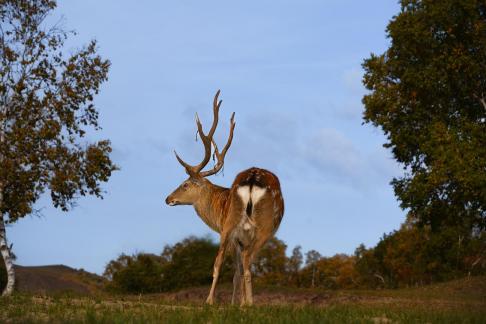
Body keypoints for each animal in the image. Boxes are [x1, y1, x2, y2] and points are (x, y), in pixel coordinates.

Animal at [165, 90, 282, 306]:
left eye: (185, 184)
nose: (168, 198)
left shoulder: (232, 236)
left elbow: (234, 271)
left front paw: (235, 302)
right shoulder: (239, 238)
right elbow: (239, 270)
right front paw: (238, 301)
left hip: (251, 226)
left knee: (223, 262)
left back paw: (214, 301)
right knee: (245, 261)